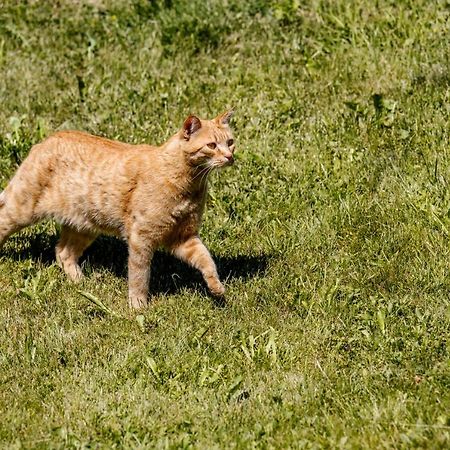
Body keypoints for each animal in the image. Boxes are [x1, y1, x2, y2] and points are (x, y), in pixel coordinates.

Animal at [0, 111, 237, 310]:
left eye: (230, 142)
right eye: (211, 145)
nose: (229, 157)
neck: (189, 183)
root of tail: (45, 140)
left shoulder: (184, 237)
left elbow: (206, 260)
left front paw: (217, 288)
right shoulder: (142, 237)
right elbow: (140, 275)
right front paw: (138, 305)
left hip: (84, 226)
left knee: (63, 252)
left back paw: (80, 282)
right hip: (22, 209)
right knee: (5, 221)